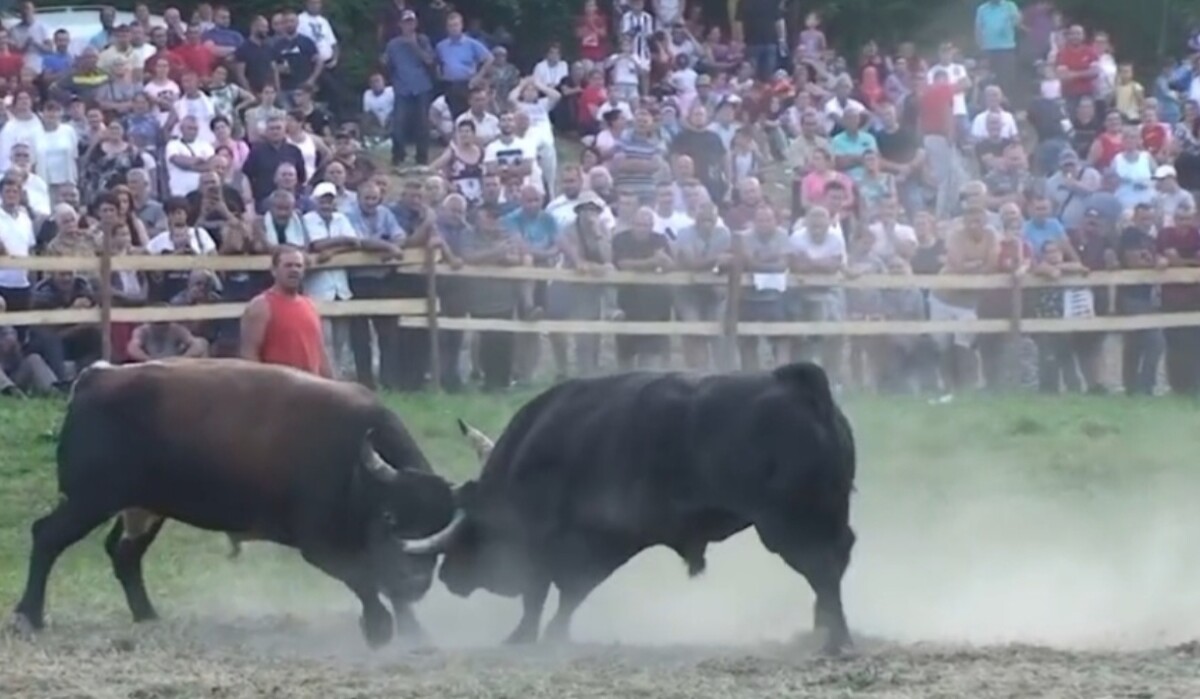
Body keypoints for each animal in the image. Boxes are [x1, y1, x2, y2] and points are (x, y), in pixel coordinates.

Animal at [9, 362, 458, 653]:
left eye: (442, 527)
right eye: (389, 516)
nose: (417, 581)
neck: (355, 468)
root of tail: (99, 376)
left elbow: (383, 586)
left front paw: (415, 632)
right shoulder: (321, 547)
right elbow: (364, 580)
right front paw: (380, 629)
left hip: (144, 508)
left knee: (124, 554)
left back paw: (147, 615)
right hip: (90, 501)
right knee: (46, 536)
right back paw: (28, 617)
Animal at [408, 365, 859, 653]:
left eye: (471, 530)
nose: (447, 576)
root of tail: (801, 387)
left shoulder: (569, 542)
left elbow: (547, 591)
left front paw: (527, 635)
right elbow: (565, 591)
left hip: (790, 526)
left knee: (823, 567)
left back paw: (835, 639)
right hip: (825, 519)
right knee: (836, 561)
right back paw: (823, 630)